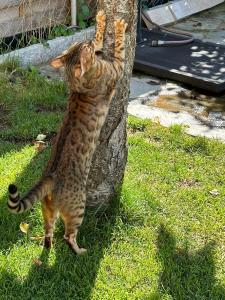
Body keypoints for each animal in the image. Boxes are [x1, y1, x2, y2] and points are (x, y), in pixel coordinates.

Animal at [7, 10, 127, 254]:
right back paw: (80, 251)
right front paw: (118, 25)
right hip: (78, 208)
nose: (86, 40)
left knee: (48, 232)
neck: (76, 83)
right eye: (85, 48)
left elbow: (102, 39)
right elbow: (119, 46)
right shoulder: (116, 68)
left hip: (47, 211)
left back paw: (48, 245)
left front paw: (100, 20)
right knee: (68, 236)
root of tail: (49, 177)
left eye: (80, 44)